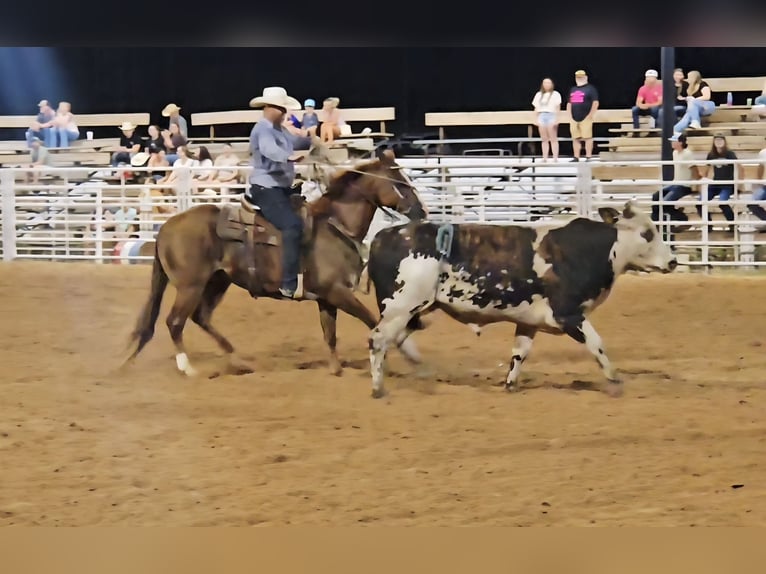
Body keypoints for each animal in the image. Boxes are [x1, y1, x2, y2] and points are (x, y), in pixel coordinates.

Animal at [125, 149, 427, 377]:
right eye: (401, 183)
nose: (421, 211)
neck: (334, 225)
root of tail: (167, 227)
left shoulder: (327, 298)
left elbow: (330, 333)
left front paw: (336, 368)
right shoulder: (338, 293)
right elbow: (373, 321)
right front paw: (412, 354)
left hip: (218, 281)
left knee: (201, 317)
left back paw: (237, 359)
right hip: (191, 285)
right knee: (175, 321)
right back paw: (188, 368)